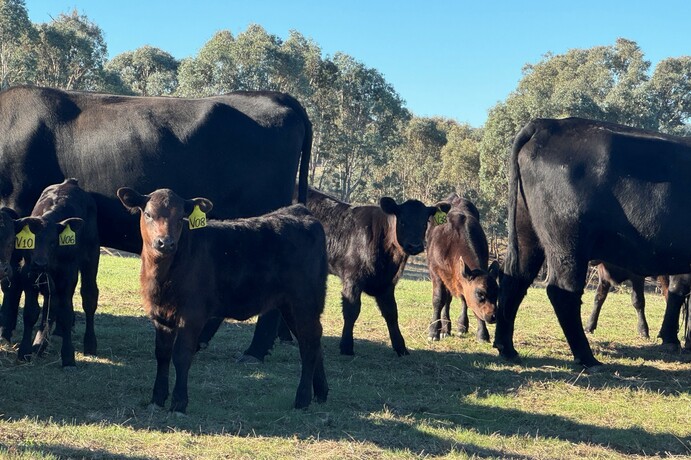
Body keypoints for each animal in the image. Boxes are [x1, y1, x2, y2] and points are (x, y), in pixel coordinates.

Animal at [0, 179, 100, 366]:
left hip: (91, 258)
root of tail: (70, 182)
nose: (40, 263)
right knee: (50, 305)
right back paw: (39, 344)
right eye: (32, 242)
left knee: (89, 298)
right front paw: (24, 352)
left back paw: (90, 344)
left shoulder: (67, 278)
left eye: (53, 242)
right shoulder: (29, 276)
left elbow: (66, 314)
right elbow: (31, 313)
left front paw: (68, 357)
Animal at [118, 187, 330, 414]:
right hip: (290, 306)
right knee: (313, 342)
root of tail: (300, 212)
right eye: (148, 214)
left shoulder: (192, 314)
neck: (163, 276)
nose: (165, 242)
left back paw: (303, 399)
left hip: (305, 301)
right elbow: (162, 354)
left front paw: (179, 403)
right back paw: (321, 393)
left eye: (180, 217)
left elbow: (182, 355)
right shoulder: (160, 315)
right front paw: (157, 399)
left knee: (309, 344)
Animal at [500, 117, 691, 368]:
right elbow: (680, 293)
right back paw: (586, 357)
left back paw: (506, 348)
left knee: (515, 280)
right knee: (563, 293)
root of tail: (548, 124)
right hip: (568, 245)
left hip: (527, 235)